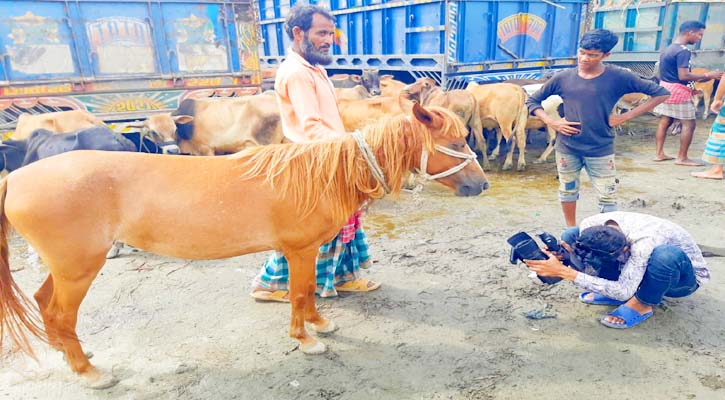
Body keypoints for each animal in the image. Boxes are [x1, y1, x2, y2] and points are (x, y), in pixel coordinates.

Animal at [0, 102, 490, 388]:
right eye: (455, 141)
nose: (482, 185)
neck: (318, 175)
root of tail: (17, 178)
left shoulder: (307, 249)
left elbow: (309, 292)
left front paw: (320, 324)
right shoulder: (298, 249)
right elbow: (299, 292)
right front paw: (306, 339)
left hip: (67, 266)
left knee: (45, 306)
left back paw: (72, 354)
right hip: (79, 267)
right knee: (60, 312)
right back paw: (89, 373)